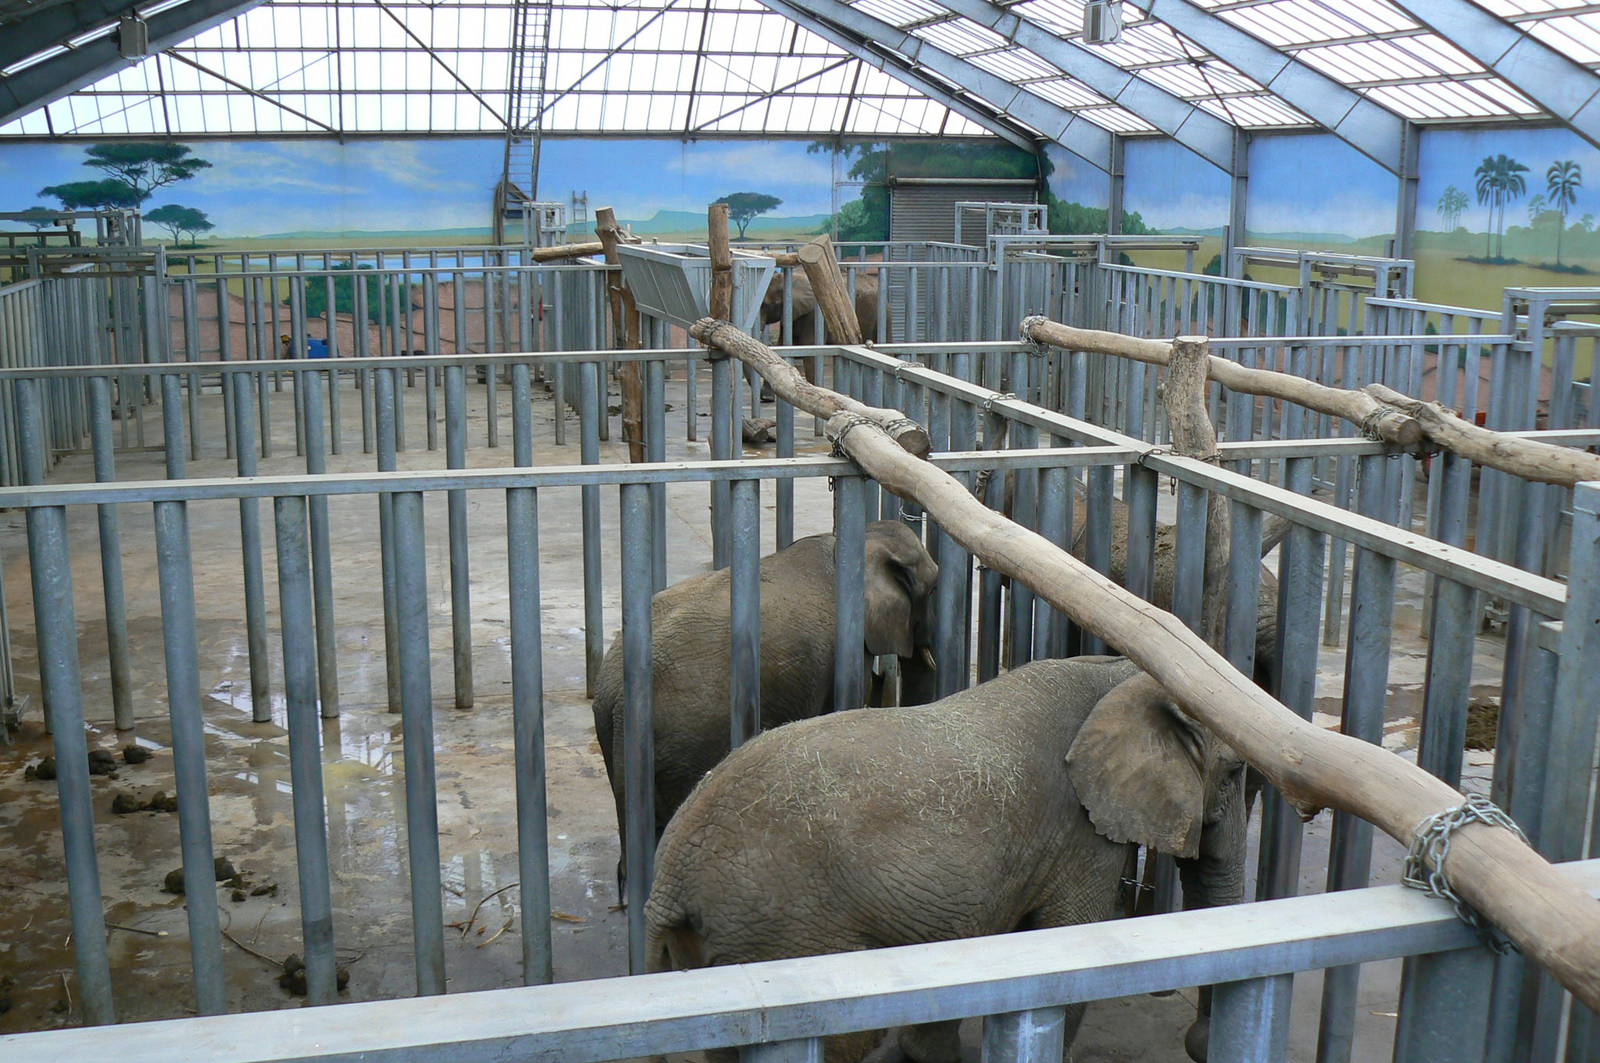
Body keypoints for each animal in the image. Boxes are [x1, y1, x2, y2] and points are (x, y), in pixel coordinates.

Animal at [647, 656, 1246, 1063]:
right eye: (1237, 772)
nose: (1196, 1042)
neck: (1122, 673)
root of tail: (669, 879)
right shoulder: (1080, 836)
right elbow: (1070, 941)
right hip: (789, 929)